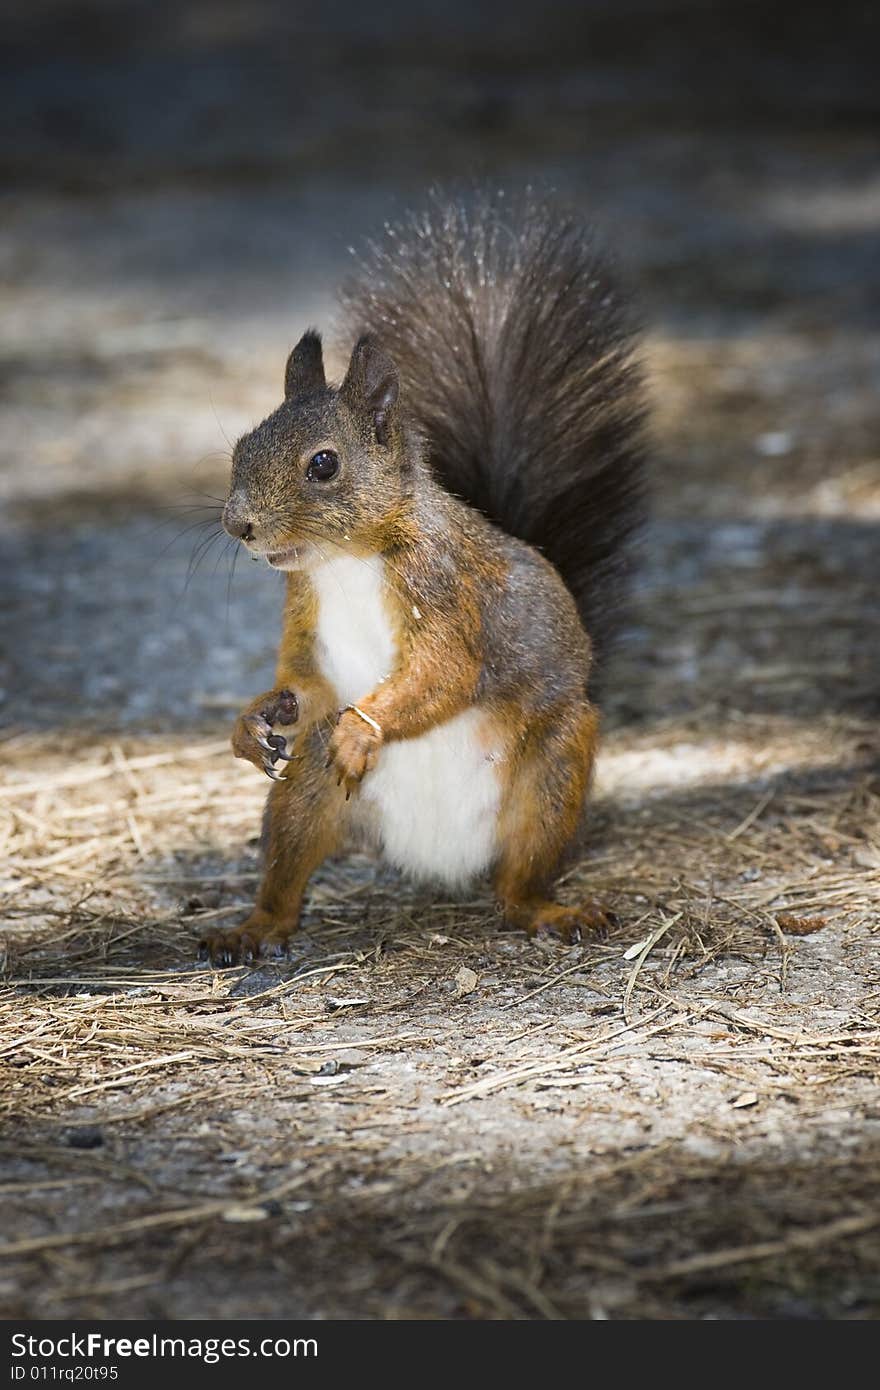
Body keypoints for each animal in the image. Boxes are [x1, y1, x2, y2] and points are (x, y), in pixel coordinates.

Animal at [198, 190, 645, 961]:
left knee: (518, 888)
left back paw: (552, 911)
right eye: (242, 447)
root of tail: (440, 861)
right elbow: (304, 685)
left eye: (324, 464)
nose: (238, 525)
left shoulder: (443, 585)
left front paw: (362, 731)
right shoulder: (304, 613)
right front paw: (252, 719)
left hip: (553, 772)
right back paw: (252, 927)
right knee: (288, 870)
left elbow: (446, 670)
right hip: (306, 789)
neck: (346, 562)